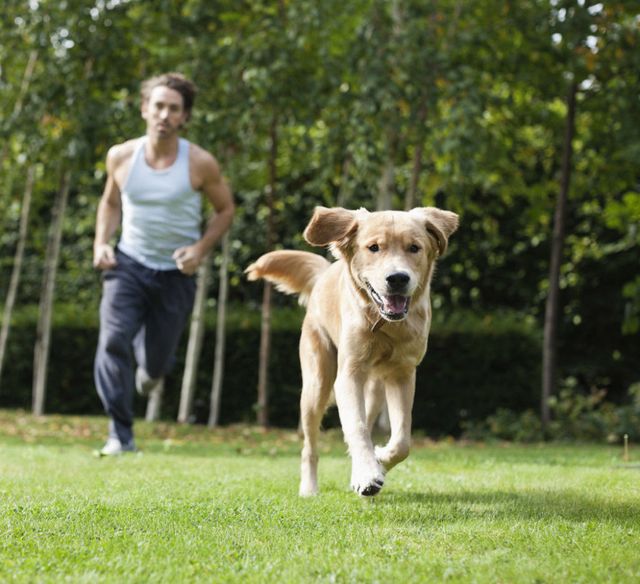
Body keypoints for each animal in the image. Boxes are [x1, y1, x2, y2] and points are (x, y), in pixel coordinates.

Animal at [246, 208, 460, 496]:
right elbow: (356, 427)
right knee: (310, 447)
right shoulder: (348, 375)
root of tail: (324, 273)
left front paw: (378, 463)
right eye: (374, 247)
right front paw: (368, 475)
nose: (397, 278)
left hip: (375, 391)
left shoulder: (402, 374)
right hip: (316, 385)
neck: (383, 324)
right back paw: (310, 488)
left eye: (414, 248)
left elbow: (402, 441)